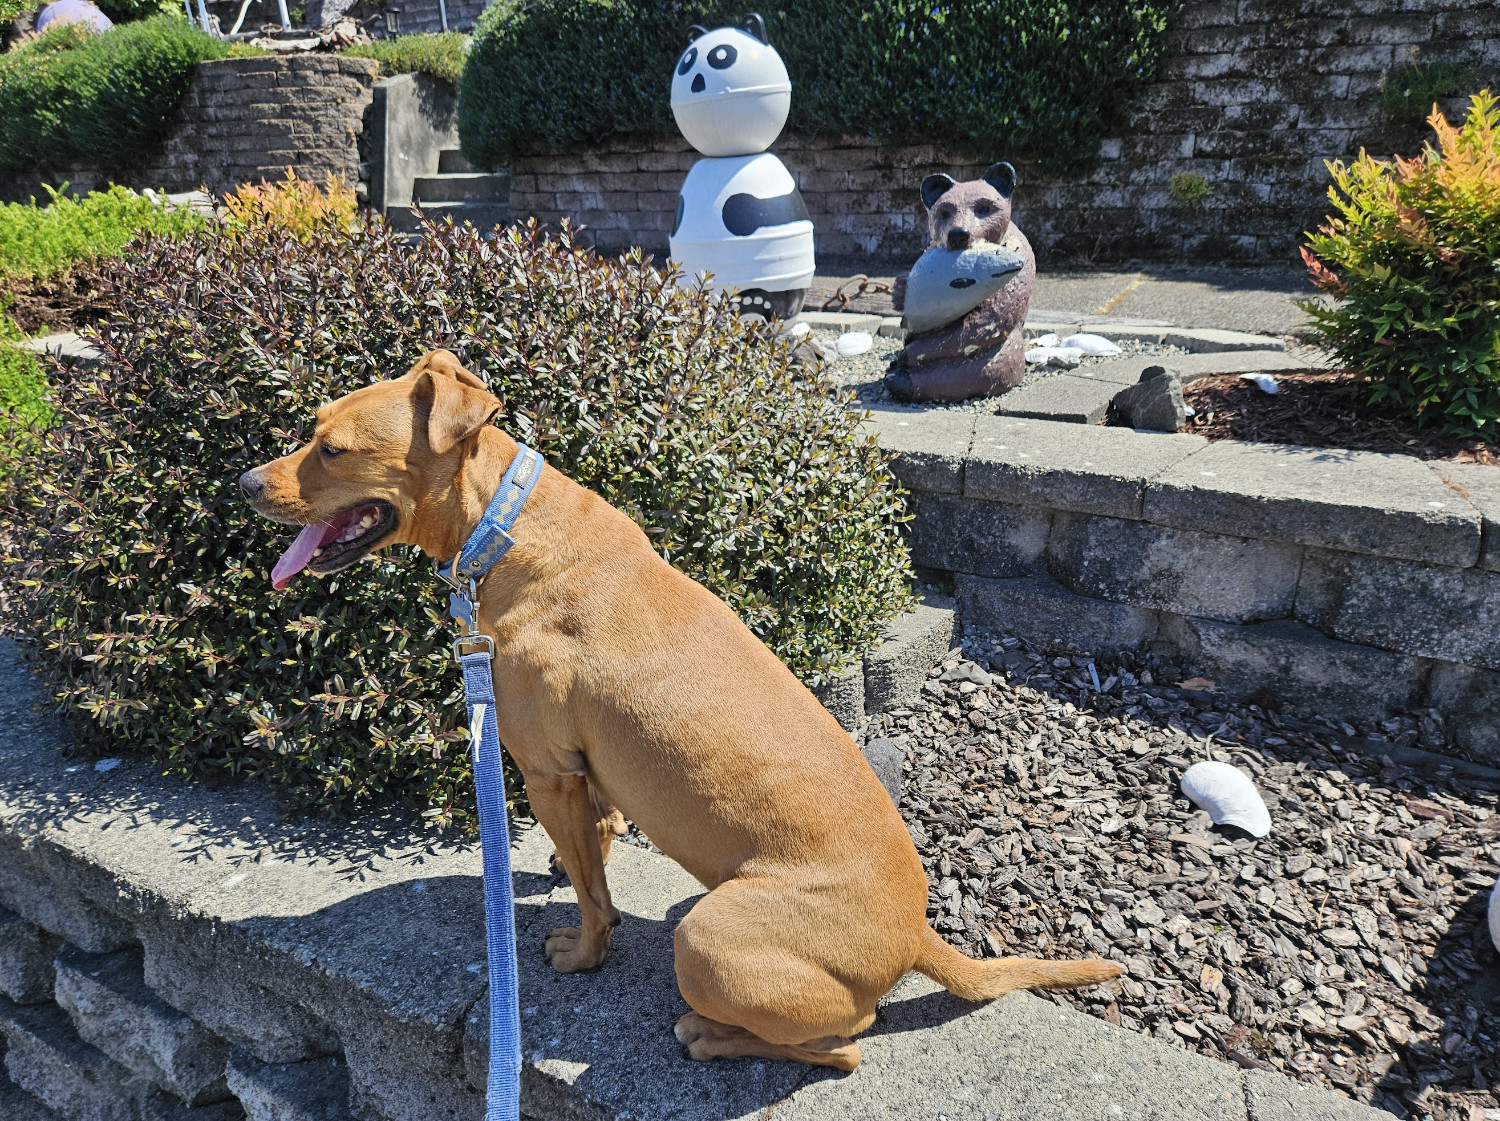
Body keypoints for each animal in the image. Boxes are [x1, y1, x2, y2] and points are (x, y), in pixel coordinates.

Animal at [243, 355, 1116, 1074]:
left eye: (332, 448)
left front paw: (583, 951)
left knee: (844, 1044)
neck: (503, 524)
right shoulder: (585, 775)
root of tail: (914, 933)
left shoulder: (546, 769)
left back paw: (709, 1035)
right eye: (311, 428)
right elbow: (592, 849)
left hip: (708, 939)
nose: (244, 483)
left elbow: (595, 898)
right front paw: (568, 870)